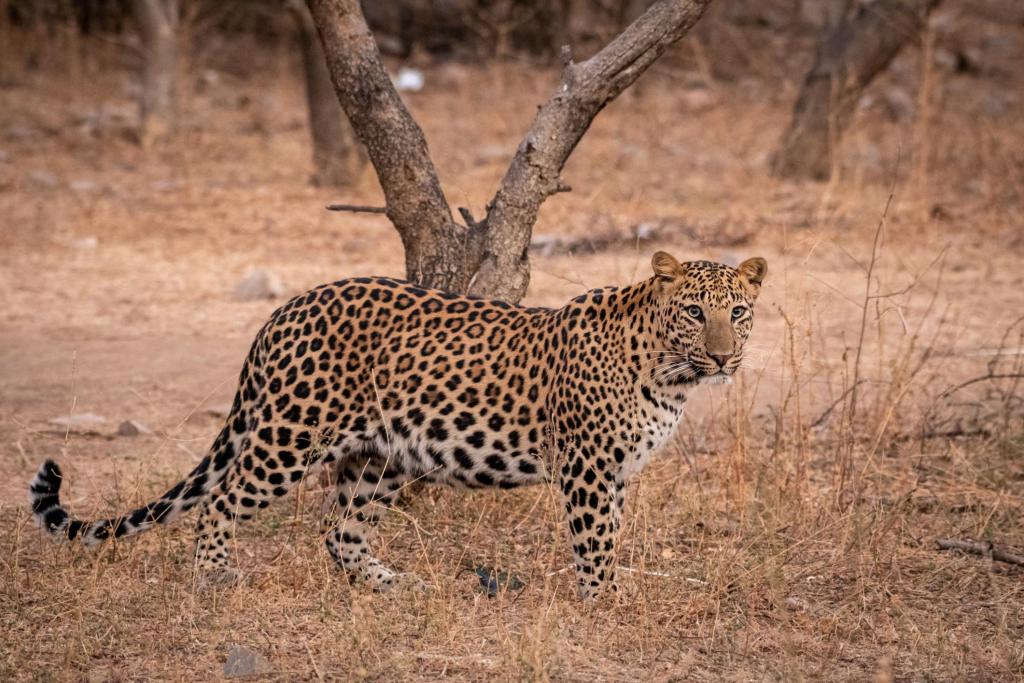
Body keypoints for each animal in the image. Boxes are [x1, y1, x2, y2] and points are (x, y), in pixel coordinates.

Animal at [30, 251, 767, 599]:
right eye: (695, 311)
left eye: (738, 311)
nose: (723, 357)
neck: (671, 374)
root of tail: (283, 310)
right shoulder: (587, 466)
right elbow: (595, 540)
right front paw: (606, 601)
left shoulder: (616, 472)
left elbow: (610, 535)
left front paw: (612, 591)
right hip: (289, 435)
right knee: (222, 501)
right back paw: (214, 578)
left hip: (379, 458)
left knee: (339, 531)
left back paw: (392, 584)